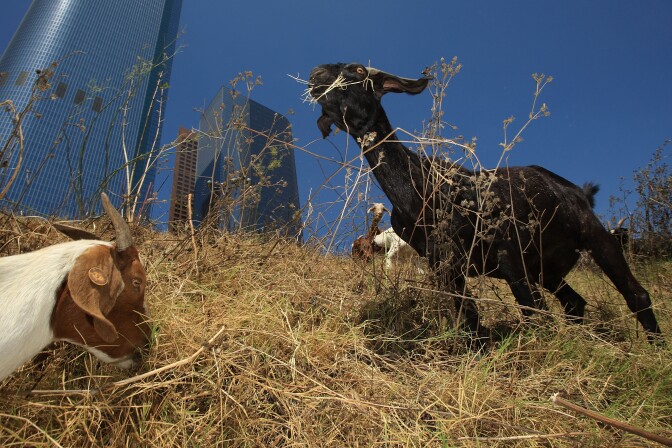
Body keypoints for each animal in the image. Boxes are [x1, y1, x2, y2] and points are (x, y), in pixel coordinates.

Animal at [308, 62, 661, 342]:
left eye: (358, 69)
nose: (315, 74)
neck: (420, 190)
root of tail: (578, 191)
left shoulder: (507, 252)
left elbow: (533, 310)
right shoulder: (444, 263)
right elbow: (469, 316)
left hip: (592, 234)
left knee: (635, 293)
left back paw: (654, 349)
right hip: (546, 267)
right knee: (574, 302)